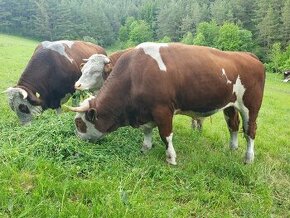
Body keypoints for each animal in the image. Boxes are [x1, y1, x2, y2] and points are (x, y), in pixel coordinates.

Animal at [67, 42, 266, 165]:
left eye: (79, 123)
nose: (77, 139)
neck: (134, 74)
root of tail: (248, 56)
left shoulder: (163, 110)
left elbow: (166, 135)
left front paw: (171, 158)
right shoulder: (144, 112)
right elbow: (147, 131)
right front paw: (145, 148)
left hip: (251, 106)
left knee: (250, 131)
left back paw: (248, 158)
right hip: (230, 105)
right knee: (233, 125)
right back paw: (232, 148)